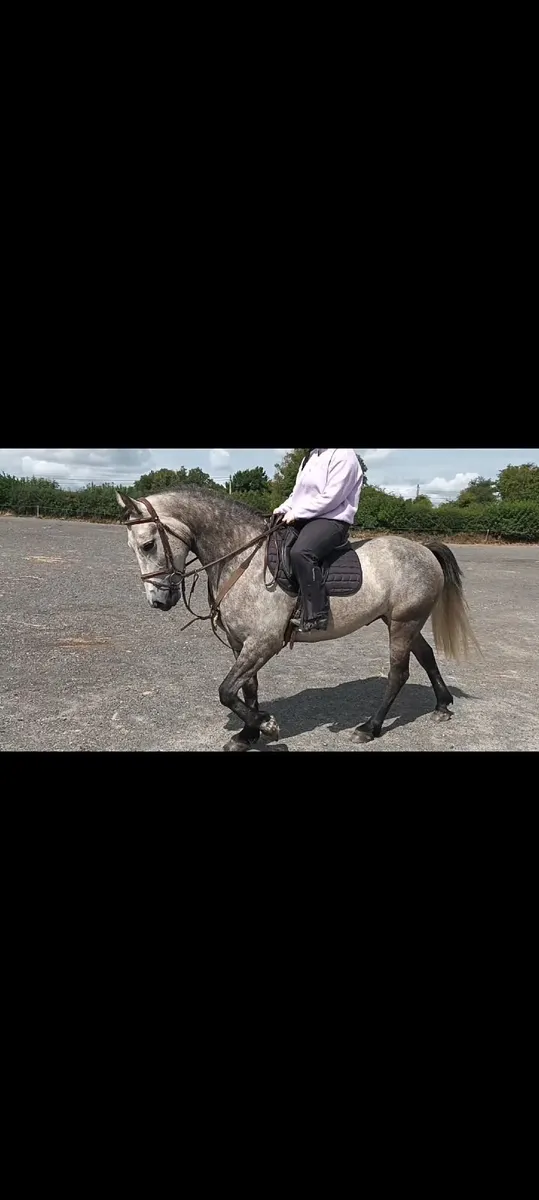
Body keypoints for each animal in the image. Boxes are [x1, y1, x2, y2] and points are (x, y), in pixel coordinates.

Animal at [116, 486, 479, 750]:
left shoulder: (264, 642)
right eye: (134, 547)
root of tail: (423, 549)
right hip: (400, 621)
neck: (242, 560)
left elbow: (226, 691)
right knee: (426, 655)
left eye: (148, 545)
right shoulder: (240, 642)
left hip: (404, 624)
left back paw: (370, 727)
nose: (158, 600)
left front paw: (267, 726)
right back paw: (442, 706)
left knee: (398, 674)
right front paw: (248, 734)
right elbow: (246, 687)